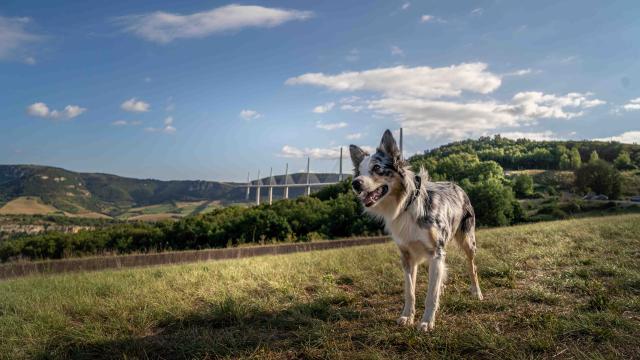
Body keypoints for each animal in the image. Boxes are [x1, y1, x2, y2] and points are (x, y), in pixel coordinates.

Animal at [348, 129, 482, 332]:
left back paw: (476, 292)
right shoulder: (407, 256)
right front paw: (407, 317)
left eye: (377, 168)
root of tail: (455, 184)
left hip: (468, 240)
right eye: (359, 172)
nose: (355, 183)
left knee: (471, 266)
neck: (406, 205)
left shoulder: (436, 252)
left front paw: (427, 321)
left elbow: (431, 294)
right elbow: (409, 291)